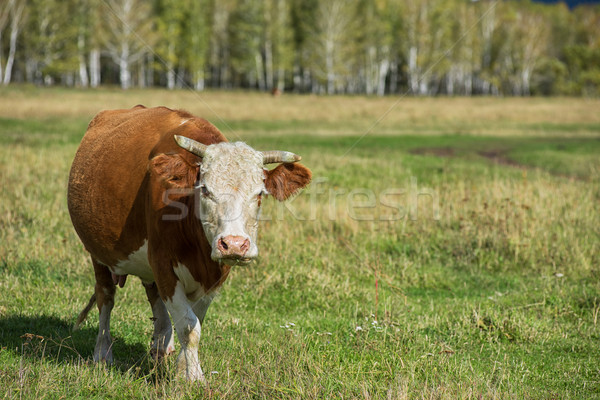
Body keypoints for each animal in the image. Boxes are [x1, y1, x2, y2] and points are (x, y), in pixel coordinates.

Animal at [68, 105, 312, 382]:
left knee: (154, 300)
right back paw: (103, 353)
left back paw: (161, 346)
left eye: (259, 193)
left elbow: (195, 322)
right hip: (98, 254)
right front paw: (192, 377)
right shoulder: (163, 264)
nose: (234, 244)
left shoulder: (215, 276)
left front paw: (184, 368)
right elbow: (188, 325)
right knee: (106, 298)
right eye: (204, 189)